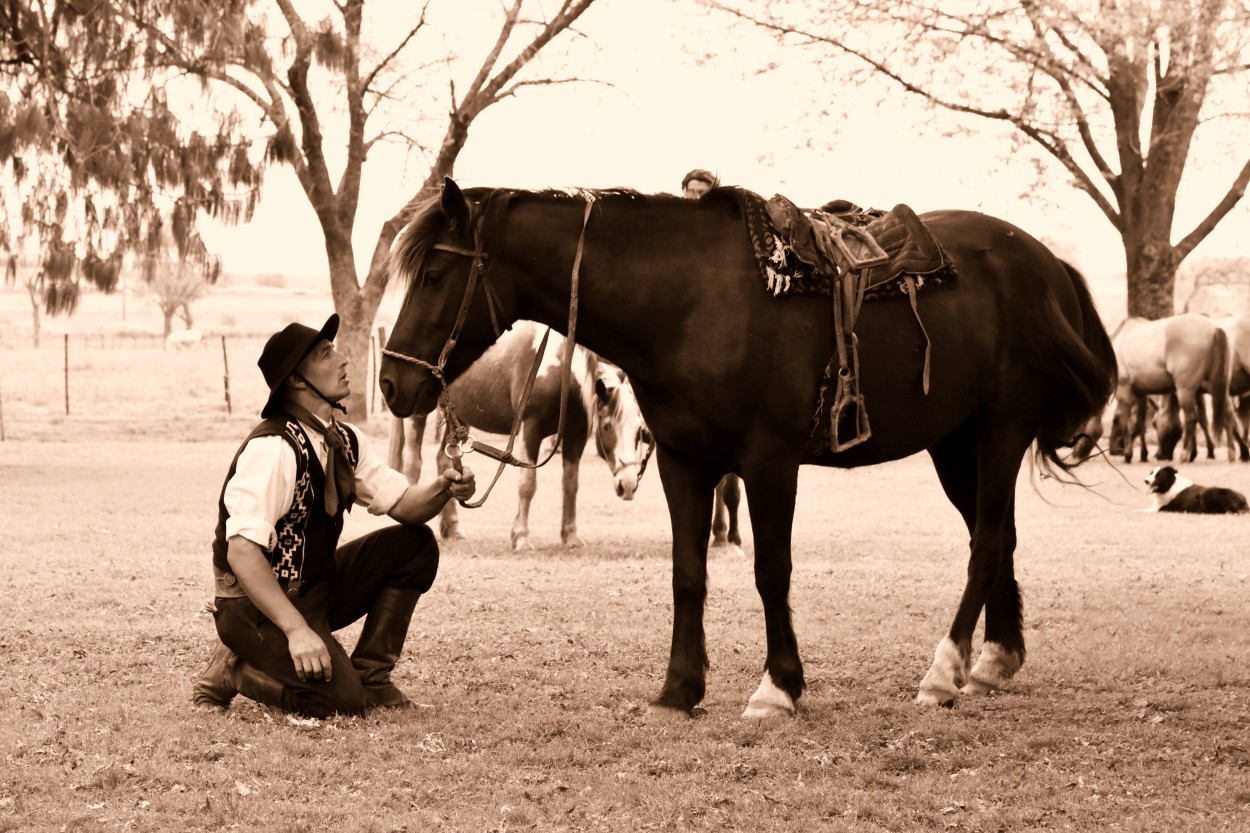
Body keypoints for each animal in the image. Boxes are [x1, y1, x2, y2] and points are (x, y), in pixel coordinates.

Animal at [387, 320, 655, 547]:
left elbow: (571, 485)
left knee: (444, 462)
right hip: (417, 416)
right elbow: (527, 485)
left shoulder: (575, 437)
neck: (563, 372)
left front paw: (570, 536)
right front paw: (522, 537)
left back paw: (452, 529)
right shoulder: (531, 430)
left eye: (639, 432)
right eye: (608, 426)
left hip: (460, 417)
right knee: (413, 463)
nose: (628, 486)